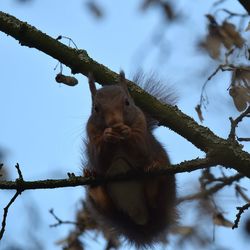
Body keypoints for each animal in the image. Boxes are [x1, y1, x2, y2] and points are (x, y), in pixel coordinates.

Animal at [85, 71, 177, 247]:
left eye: (127, 103)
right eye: (96, 108)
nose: (114, 122)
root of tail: (140, 218)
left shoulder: (142, 133)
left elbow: (141, 150)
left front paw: (126, 131)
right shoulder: (91, 136)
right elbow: (100, 162)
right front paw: (107, 135)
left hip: (165, 187)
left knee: (154, 199)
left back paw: (153, 173)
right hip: (106, 208)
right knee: (106, 205)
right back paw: (94, 185)